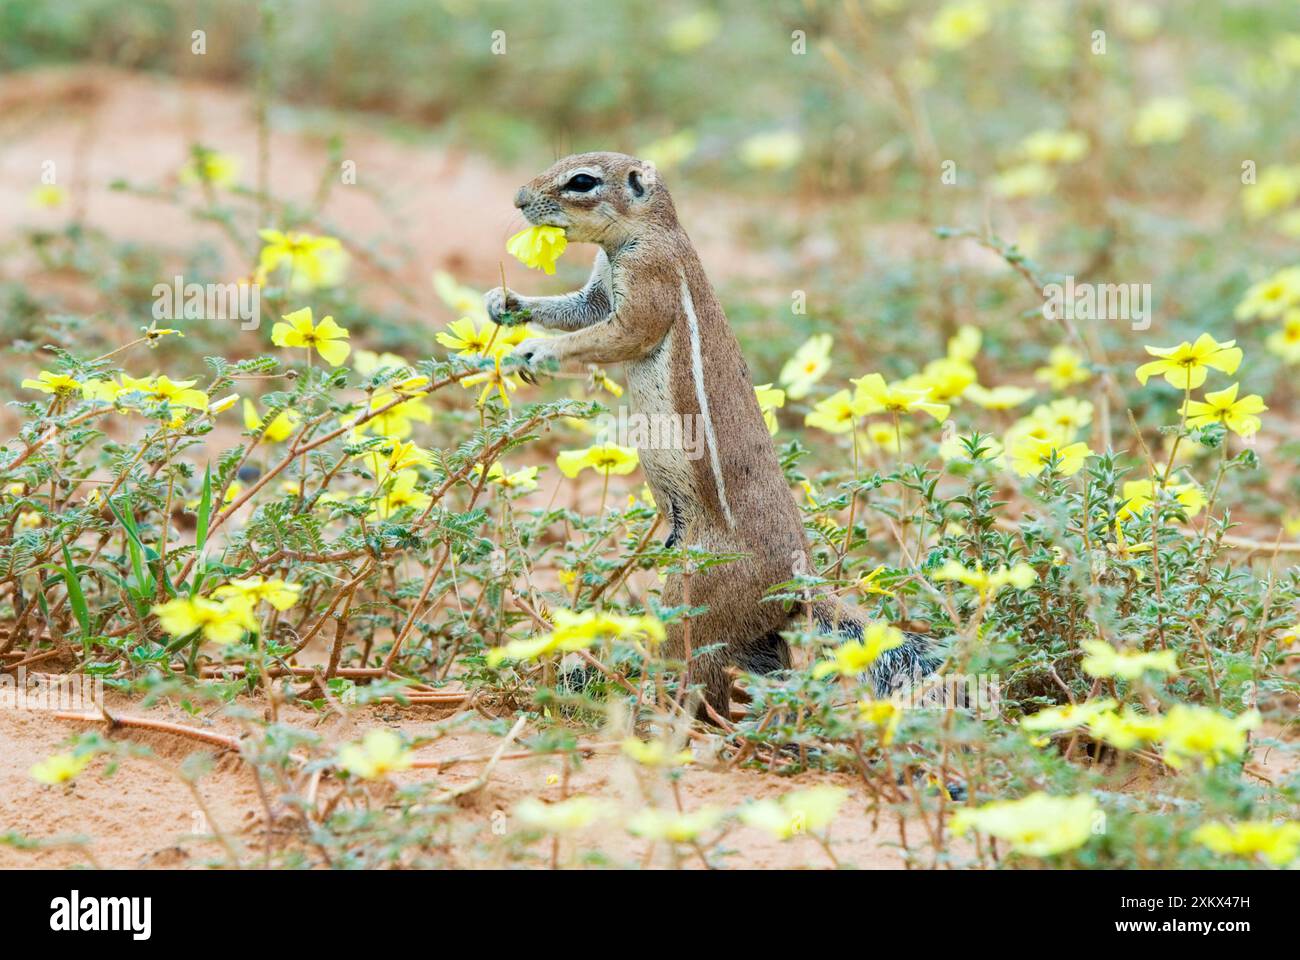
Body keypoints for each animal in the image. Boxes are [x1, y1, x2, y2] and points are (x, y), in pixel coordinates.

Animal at [483, 149, 941, 712]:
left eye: (582, 181)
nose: (518, 199)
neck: (646, 232)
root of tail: (800, 580)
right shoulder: (598, 289)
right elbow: (576, 309)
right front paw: (506, 302)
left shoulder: (649, 280)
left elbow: (617, 332)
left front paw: (538, 350)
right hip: (755, 634)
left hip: (695, 597)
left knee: (700, 676)